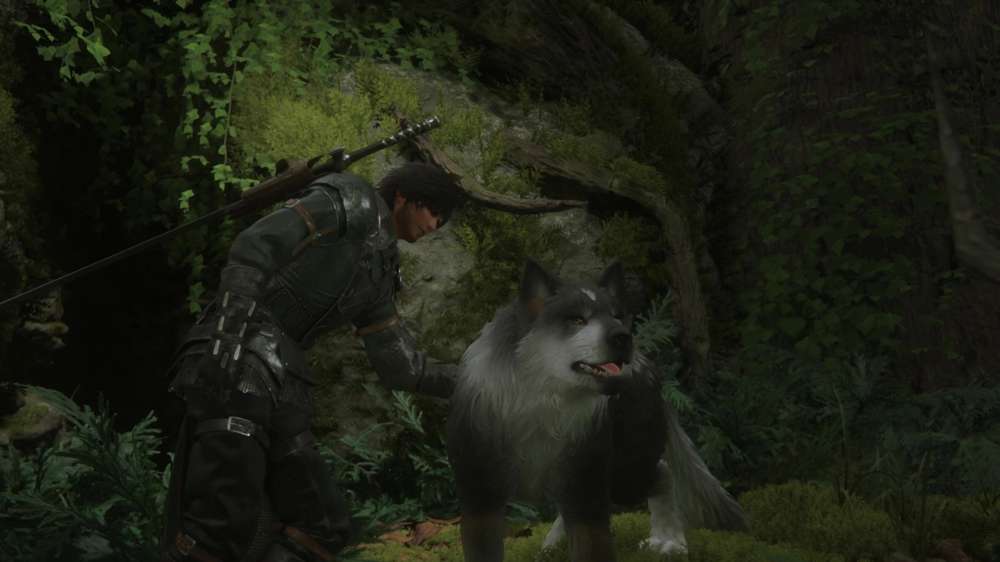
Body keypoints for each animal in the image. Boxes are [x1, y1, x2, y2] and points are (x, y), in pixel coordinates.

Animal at [447, 260, 746, 562]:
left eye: (616, 316)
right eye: (577, 320)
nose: (624, 337)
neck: (540, 407)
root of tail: (646, 364)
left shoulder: (586, 484)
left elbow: (591, 544)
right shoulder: (481, 498)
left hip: (625, 474)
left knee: (662, 472)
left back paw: (669, 541)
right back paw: (553, 545)